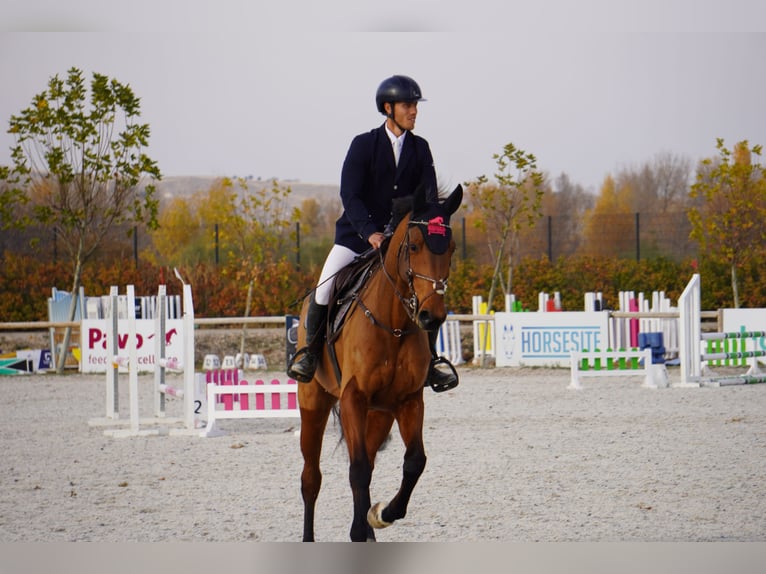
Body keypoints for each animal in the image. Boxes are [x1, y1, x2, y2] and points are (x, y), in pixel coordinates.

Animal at [296, 183, 463, 542]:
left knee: (369, 461)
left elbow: (414, 461)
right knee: (311, 478)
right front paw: (361, 528)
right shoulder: (353, 398)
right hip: (314, 403)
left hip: (380, 414)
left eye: (452, 248)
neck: (394, 323)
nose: (431, 317)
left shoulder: (409, 401)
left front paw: (381, 514)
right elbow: (357, 468)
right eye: (413, 246)